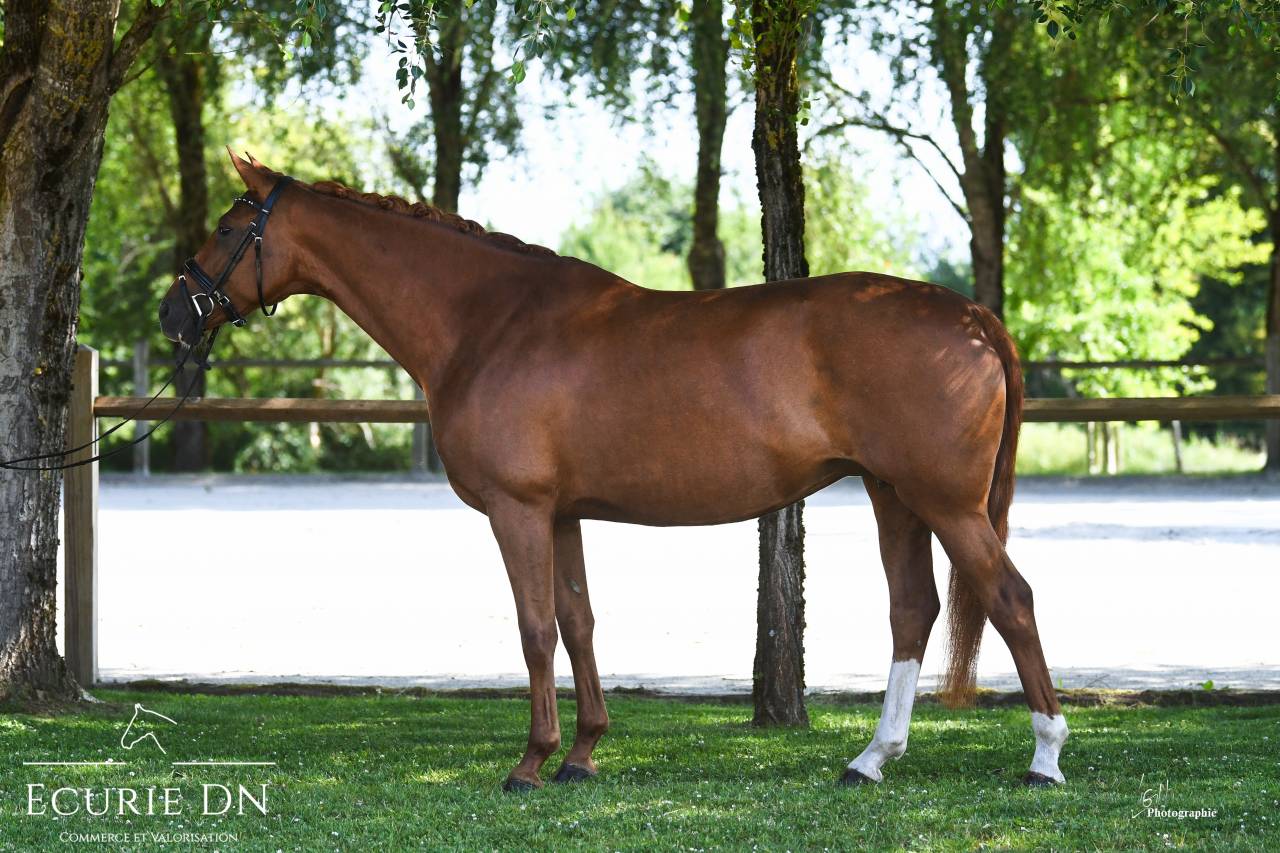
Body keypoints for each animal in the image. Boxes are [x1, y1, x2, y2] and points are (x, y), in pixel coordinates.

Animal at [158, 151, 1068, 791]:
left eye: (229, 228)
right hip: (895, 496)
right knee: (914, 608)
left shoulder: (519, 510)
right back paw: (871, 758)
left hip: (947, 502)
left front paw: (531, 762)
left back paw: (1044, 758)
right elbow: (578, 621)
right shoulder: (562, 513)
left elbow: (533, 629)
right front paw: (583, 755)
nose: (174, 311)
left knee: (1013, 599)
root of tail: (970, 314)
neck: (487, 320)